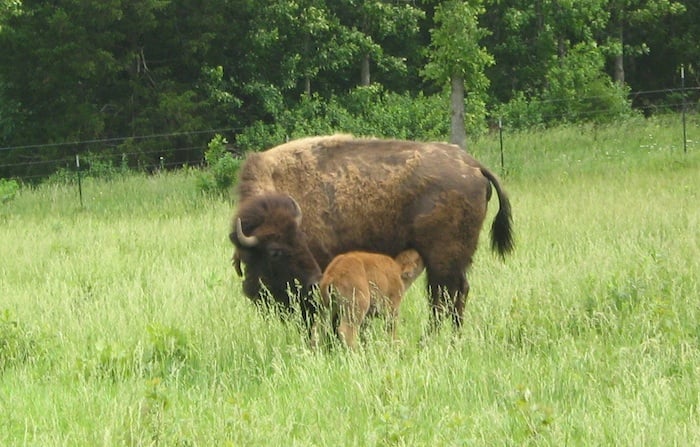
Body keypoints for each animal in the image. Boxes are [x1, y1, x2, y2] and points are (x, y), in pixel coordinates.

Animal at [230, 136, 516, 332]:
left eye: (276, 251)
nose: (250, 290)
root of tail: (473, 165)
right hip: (455, 261)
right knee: (456, 295)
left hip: (442, 261)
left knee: (442, 299)